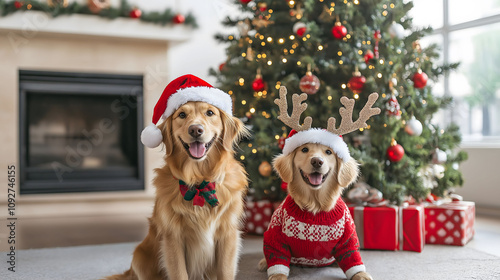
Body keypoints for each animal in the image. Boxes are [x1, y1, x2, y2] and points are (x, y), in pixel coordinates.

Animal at [105, 75, 248, 280]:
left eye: (210, 112)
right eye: (181, 115)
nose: (195, 130)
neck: (199, 180)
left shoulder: (227, 235)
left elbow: (226, 273)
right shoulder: (173, 238)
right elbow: (179, 273)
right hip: (140, 256)